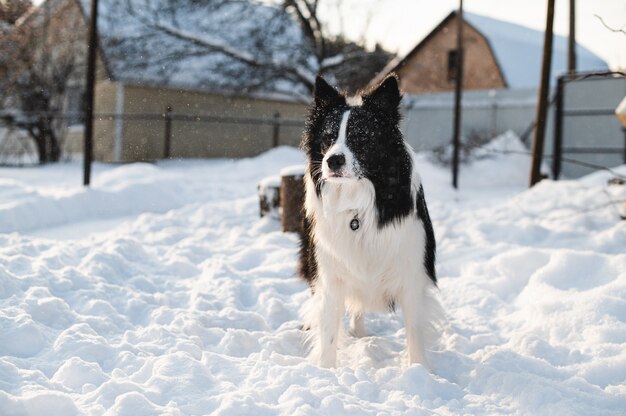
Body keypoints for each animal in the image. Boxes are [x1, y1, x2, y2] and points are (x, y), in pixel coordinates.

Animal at [298, 74, 438, 368]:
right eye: (328, 138)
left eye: (361, 137)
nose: (333, 160)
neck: (358, 202)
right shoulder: (329, 273)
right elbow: (328, 331)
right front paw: (326, 370)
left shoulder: (412, 273)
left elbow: (414, 331)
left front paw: (420, 372)